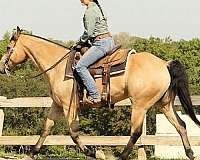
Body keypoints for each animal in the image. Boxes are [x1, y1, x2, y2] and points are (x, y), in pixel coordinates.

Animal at [0, 26, 200, 159]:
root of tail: (164, 63)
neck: (58, 66)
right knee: (181, 125)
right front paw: (32, 152)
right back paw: (190, 153)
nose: (2, 67)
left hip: (140, 105)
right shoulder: (57, 104)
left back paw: (121, 156)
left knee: (136, 132)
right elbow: (47, 128)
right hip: (164, 105)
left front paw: (93, 152)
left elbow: (73, 132)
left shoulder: (69, 106)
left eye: (9, 48)